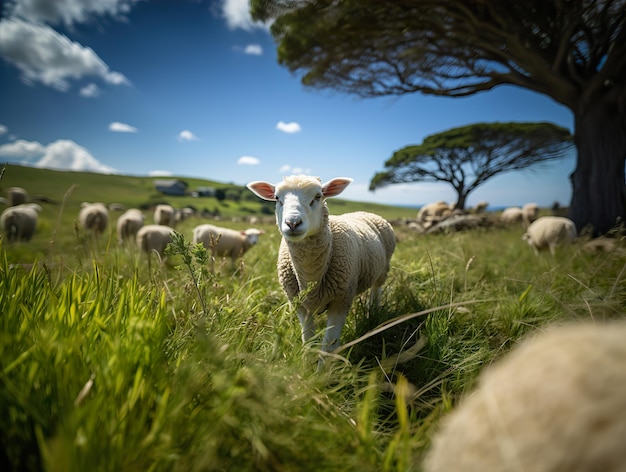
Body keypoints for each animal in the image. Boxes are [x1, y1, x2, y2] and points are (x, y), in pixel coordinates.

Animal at [245, 175, 394, 360]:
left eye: (318, 196)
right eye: (277, 198)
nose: (292, 223)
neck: (311, 275)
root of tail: (363, 212)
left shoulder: (341, 301)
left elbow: (328, 346)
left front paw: (323, 367)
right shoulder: (301, 305)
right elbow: (308, 342)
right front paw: (307, 365)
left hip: (383, 269)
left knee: (376, 290)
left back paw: (373, 313)